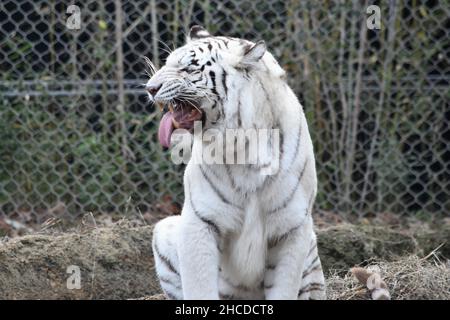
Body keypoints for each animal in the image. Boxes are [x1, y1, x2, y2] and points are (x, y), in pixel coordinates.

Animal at [146, 25, 326, 300]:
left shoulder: (292, 228)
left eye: (189, 68)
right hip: (164, 230)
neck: (243, 146)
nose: (150, 88)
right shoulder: (200, 220)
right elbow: (199, 288)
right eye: (167, 63)